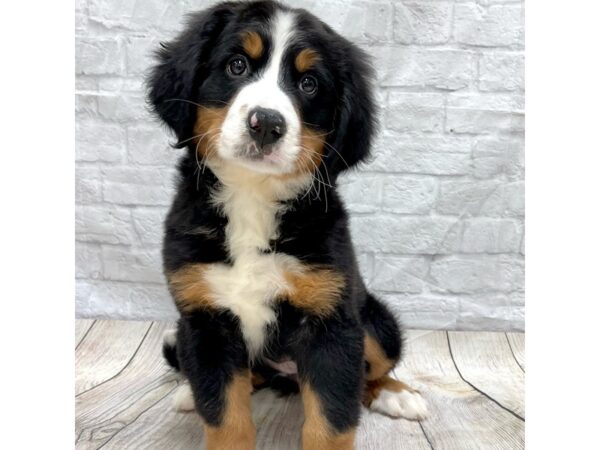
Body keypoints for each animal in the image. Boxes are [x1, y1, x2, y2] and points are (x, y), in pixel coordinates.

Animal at [146, 1, 426, 448]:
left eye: (309, 84)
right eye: (237, 65)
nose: (266, 123)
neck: (253, 198)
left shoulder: (330, 322)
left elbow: (332, 418)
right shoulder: (205, 321)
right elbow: (223, 412)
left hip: (374, 320)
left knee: (371, 371)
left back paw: (397, 395)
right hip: (183, 334)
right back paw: (189, 392)